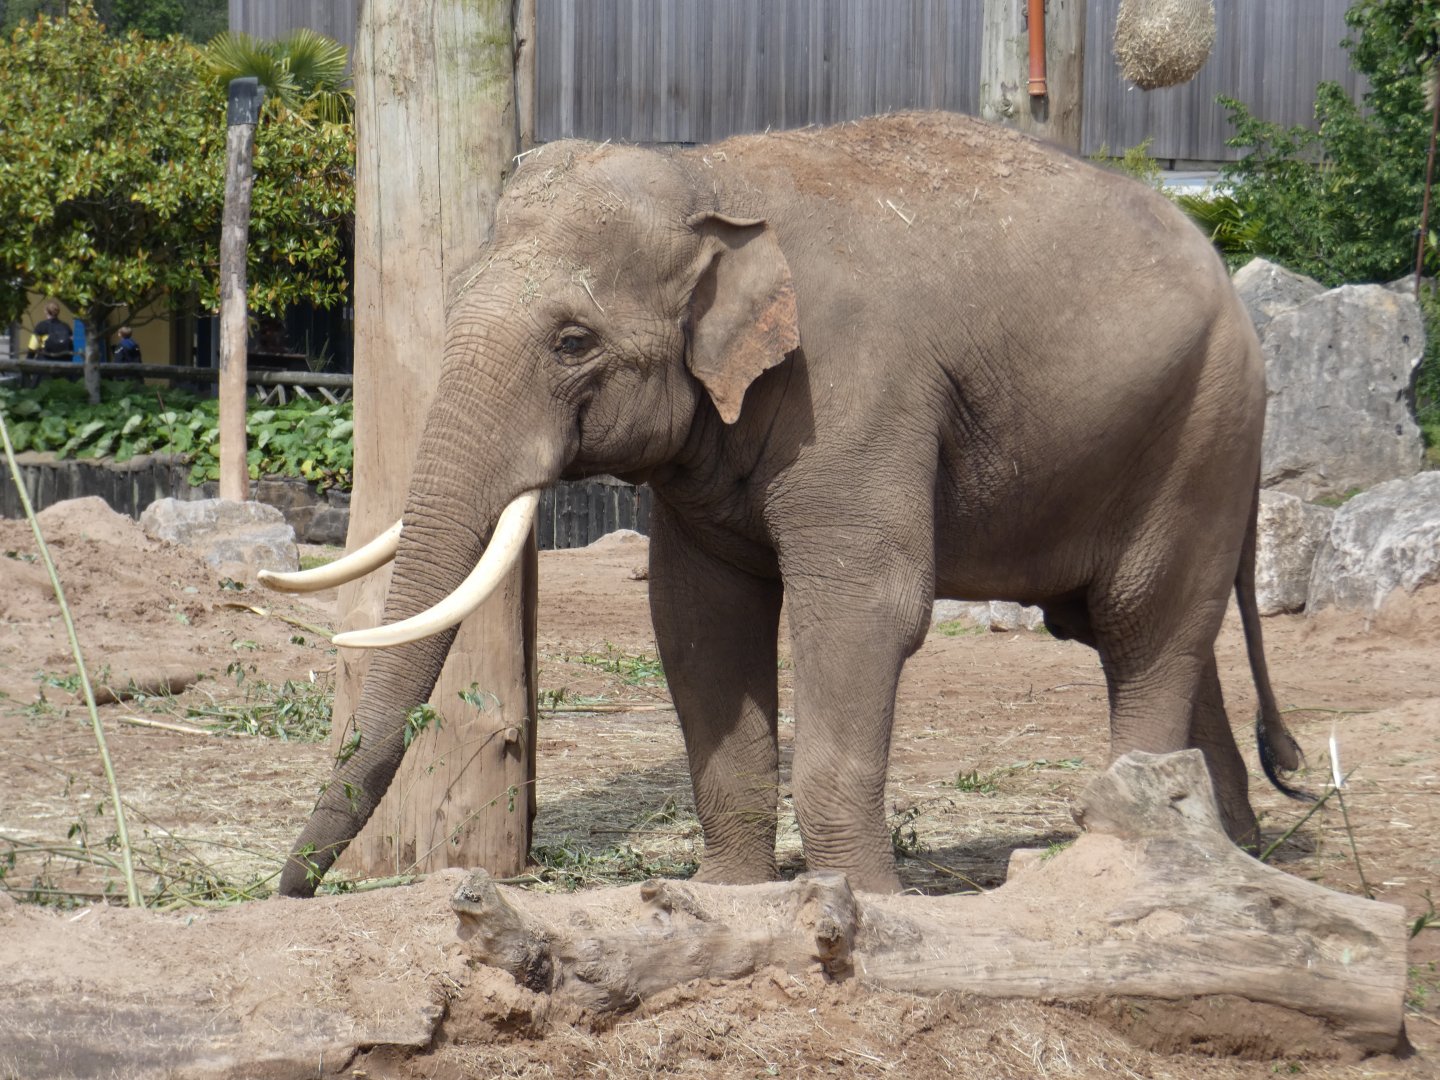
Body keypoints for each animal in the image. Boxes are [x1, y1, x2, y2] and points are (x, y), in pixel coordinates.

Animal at [263, 111, 1306, 898]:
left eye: (571, 341)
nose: (288, 889)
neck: (711, 179)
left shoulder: (855, 395)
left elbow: (865, 607)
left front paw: (864, 901)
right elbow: (697, 616)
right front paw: (725, 895)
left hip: (1201, 433)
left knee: (1145, 626)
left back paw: (1133, 857)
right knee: (1150, 633)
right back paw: (1237, 852)